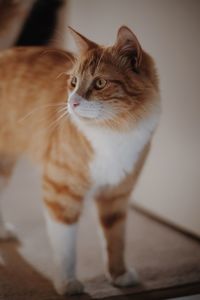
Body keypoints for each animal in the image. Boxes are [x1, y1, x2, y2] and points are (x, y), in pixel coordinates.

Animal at [0, 27, 160, 294]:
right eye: (73, 82)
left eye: (100, 83)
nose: (72, 102)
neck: (114, 132)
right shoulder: (60, 191)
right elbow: (65, 247)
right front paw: (67, 283)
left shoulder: (117, 194)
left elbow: (115, 239)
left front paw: (119, 274)